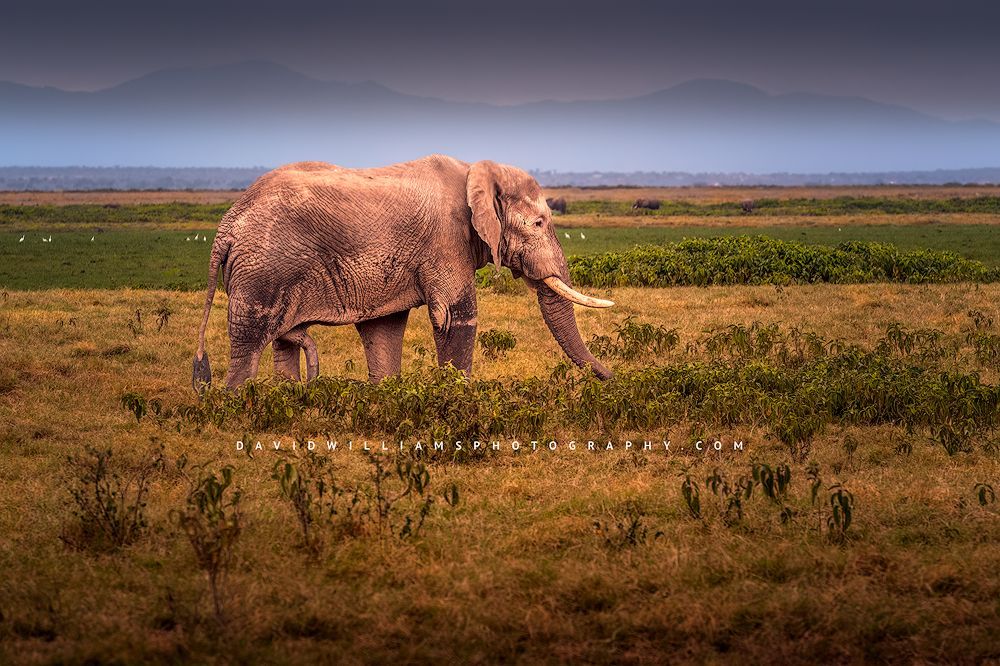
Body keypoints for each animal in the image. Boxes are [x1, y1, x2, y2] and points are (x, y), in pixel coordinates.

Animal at [192, 155, 615, 392]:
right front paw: (455, 398)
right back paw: (239, 404)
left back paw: (288, 399)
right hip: (261, 270)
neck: (475, 171)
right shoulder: (446, 240)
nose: (617, 378)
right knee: (249, 344)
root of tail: (227, 224)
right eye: (539, 223)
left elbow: (385, 329)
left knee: (282, 342)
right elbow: (455, 318)